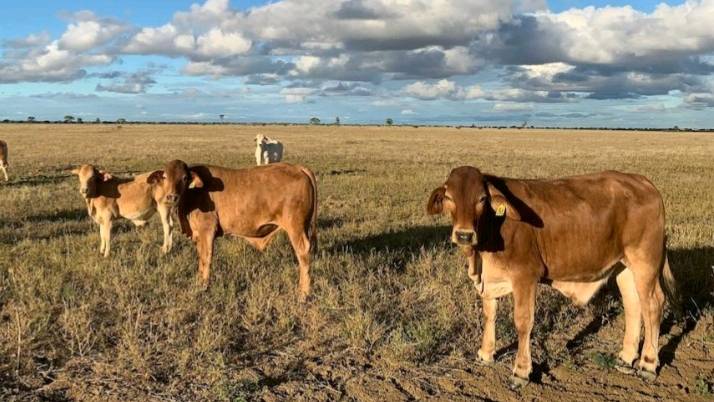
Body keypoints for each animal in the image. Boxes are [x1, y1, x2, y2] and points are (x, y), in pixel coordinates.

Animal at [153, 160, 317, 300]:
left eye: (185, 177)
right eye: (165, 177)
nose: (172, 196)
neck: (194, 193)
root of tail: (297, 168)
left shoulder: (207, 231)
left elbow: (206, 258)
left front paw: (204, 285)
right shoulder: (199, 235)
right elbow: (200, 258)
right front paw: (199, 281)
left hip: (296, 228)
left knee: (303, 254)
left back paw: (303, 293)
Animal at [426, 166, 677, 388]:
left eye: (481, 199)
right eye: (449, 197)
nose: (464, 235)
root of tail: (643, 182)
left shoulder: (525, 277)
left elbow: (523, 322)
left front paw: (521, 370)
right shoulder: (490, 281)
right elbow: (490, 314)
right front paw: (486, 353)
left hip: (645, 261)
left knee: (653, 304)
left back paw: (648, 364)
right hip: (623, 267)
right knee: (633, 304)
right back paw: (625, 357)